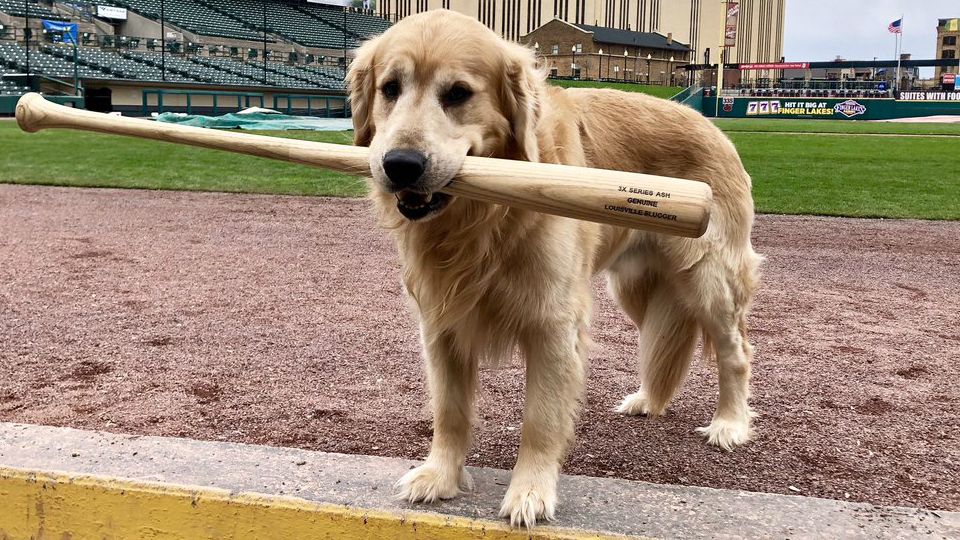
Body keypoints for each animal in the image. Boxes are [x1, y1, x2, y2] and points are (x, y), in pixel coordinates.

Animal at [344, 10, 756, 528]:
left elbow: (540, 419)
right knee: (659, 338)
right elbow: (449, 410)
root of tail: (709, 122)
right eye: (390, 88)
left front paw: (530, 492)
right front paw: (440, 475)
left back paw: (730, 423)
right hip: (636, 288)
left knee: (735, 352)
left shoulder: (553, 324)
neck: (483, 219)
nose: (400, 164)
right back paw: (646, 399)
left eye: (458, 93)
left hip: (708, 280)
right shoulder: (441, 321)